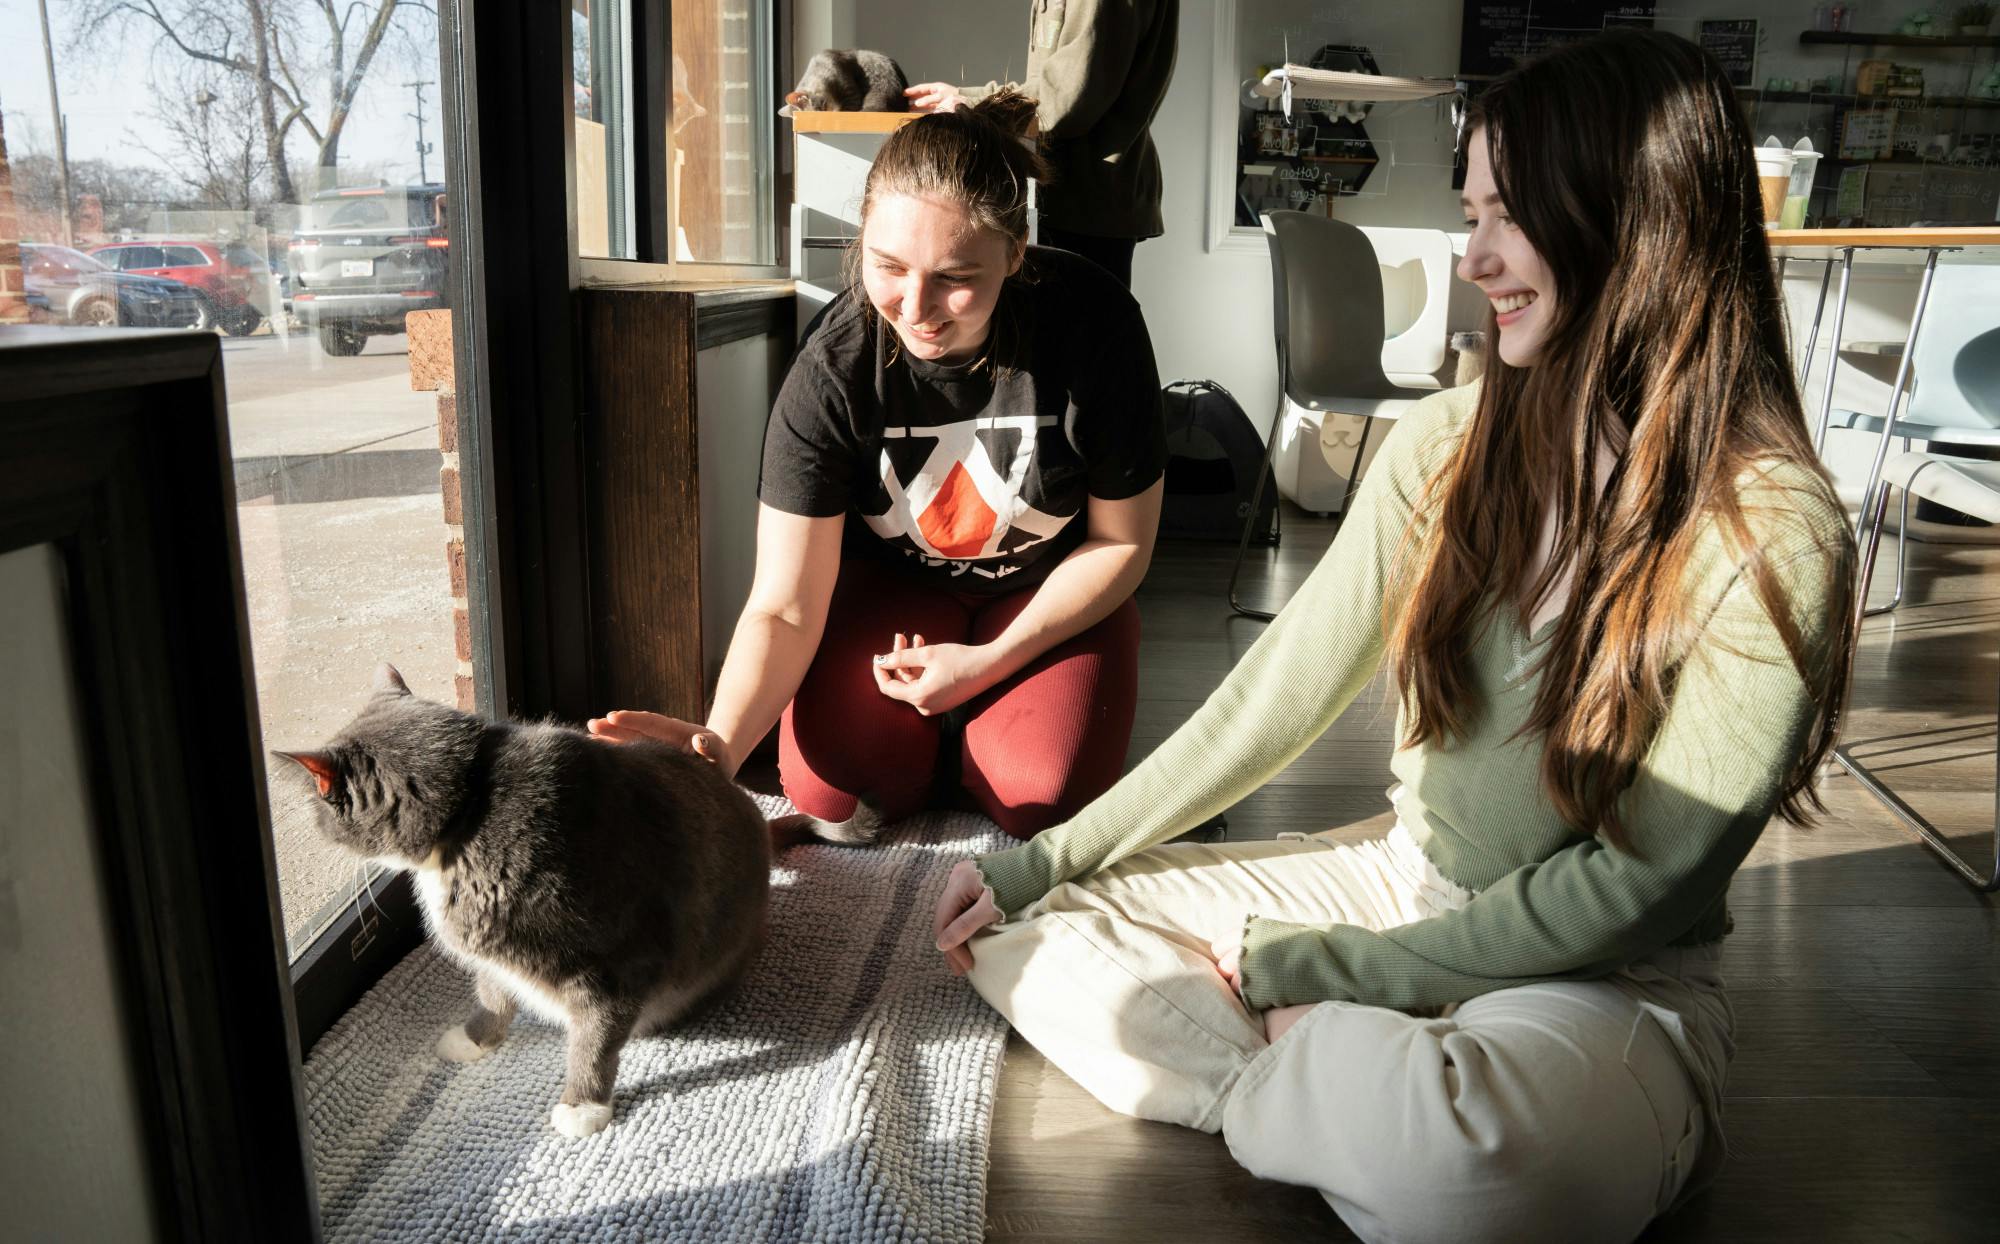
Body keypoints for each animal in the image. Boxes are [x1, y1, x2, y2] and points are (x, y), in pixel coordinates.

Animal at [272, 672, 876, 1144]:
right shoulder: (496, 951)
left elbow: (596, 1037)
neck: (471, 811)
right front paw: (475, 1037)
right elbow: (493, 991)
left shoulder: (617, 963)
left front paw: (583, 1105)